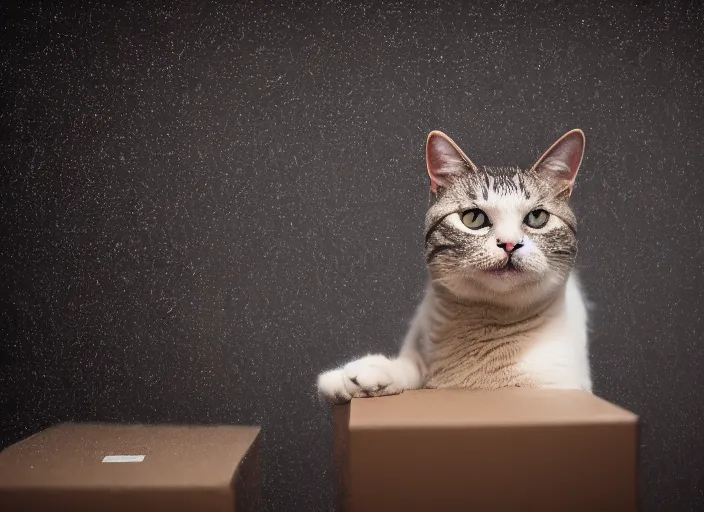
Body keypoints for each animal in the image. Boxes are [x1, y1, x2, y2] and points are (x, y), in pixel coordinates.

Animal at [320, 129, 592, 404]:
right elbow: (410, 369)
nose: (509, 243)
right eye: (474, 218)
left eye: (537, 218)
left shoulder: (562, 386)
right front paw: (357, 377)